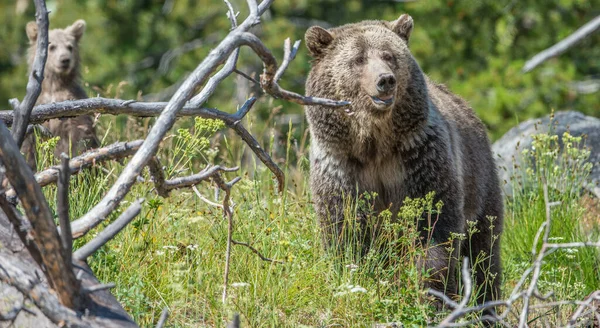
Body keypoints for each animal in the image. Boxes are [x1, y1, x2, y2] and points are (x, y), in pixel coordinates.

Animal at [20, 19, 98, 169]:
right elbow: (29, 146)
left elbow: (80, 135)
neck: (54, 88)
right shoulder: (38, 106)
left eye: (70, 47)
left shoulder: (73, 103)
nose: (65, 60)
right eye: (52, 47)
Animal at [304, 14, 502, 308]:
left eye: (389, 55)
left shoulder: (419, 158)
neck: (374, 145)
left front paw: (426, 291)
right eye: (358, 59)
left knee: (484, 254)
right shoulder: (342, 166)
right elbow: (345, 228)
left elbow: (432, 225)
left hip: (479, 182)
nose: (385, 79)